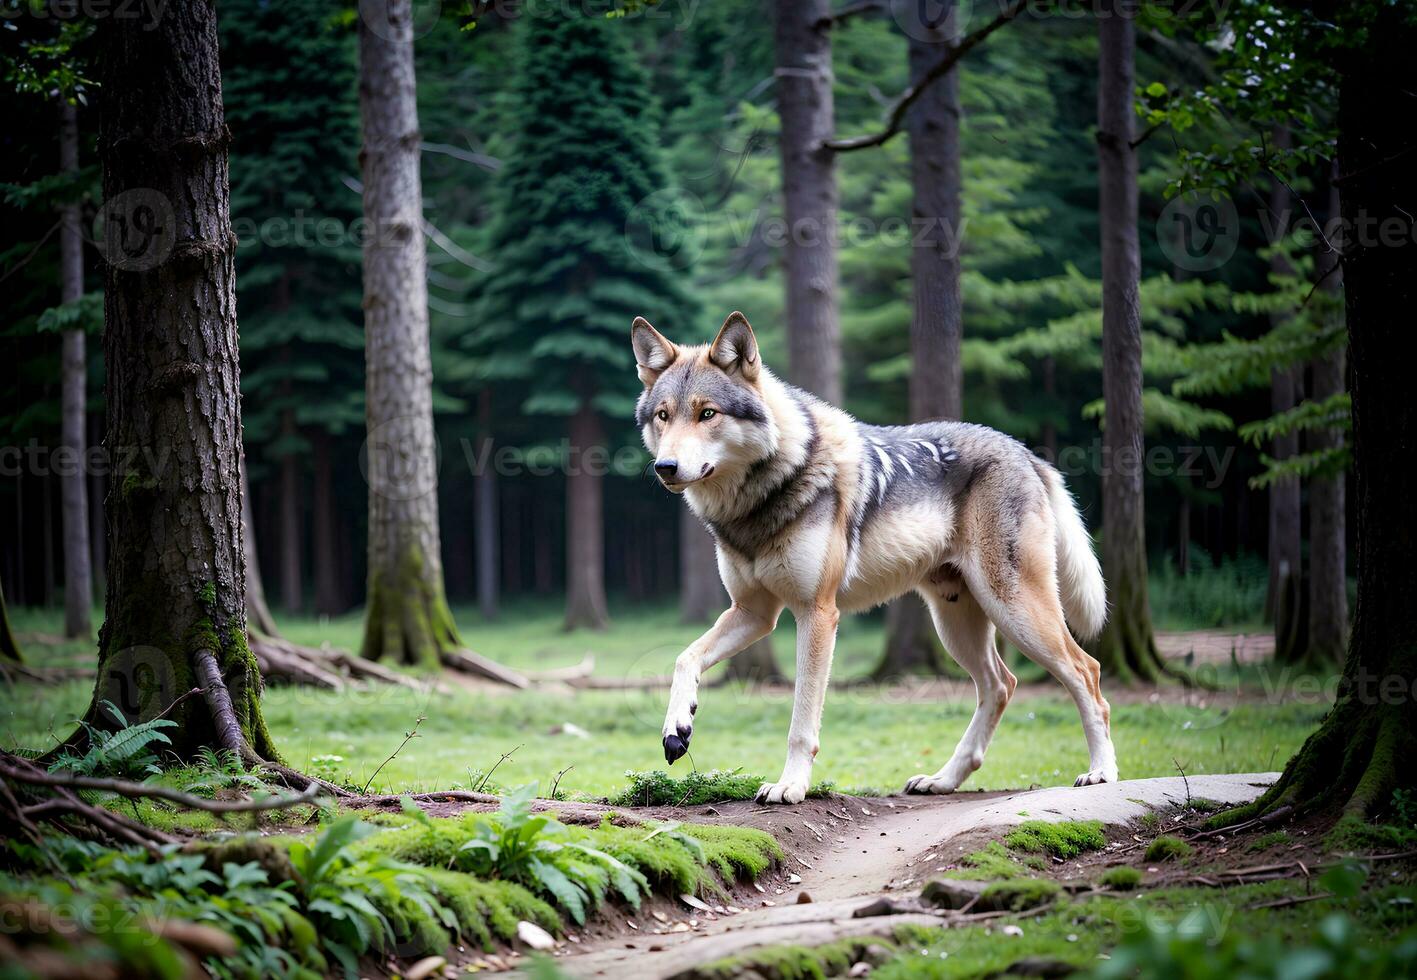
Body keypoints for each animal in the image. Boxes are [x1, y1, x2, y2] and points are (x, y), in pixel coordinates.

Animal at [634, 311, 1116, 804]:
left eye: (707, 413)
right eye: (663, 416)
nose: (665, 467)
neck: (760, 496)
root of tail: (1026, 453)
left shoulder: (816, 613)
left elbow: (800, 722)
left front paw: (790, 786)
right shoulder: (754, 613)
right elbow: (684, 658)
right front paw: (677, 728)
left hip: (1015, 610)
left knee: (1088, 674)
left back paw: (1101, 772)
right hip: (957, 625)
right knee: (1002, 685)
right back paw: (942, 780)